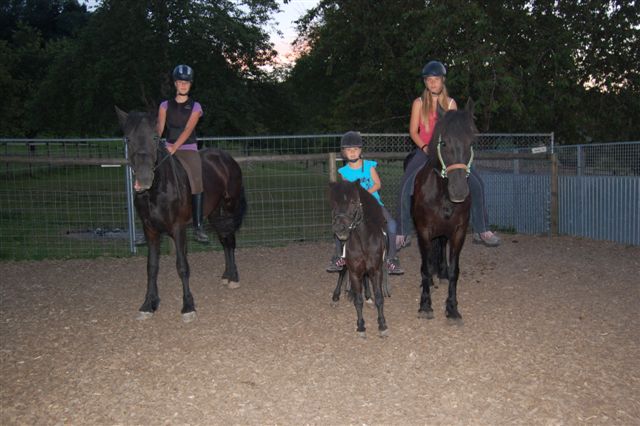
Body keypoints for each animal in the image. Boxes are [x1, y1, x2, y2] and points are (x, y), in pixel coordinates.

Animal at [116, 107, 246, 322]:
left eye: (155, 137)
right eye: (128, 139)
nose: (144, 179)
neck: (156, 191)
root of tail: (226, 158)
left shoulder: (178, 229)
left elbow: (182, 266)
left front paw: (188, 307)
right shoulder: (150, 230)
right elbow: (152, 267)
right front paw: (148, 304)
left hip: (228, 208)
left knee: (230, 240)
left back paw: (234, 278)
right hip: (214, 213)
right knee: (224, 240)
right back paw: (227, 275)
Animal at [328, 180, 390, 338]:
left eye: (353, 202)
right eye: (334, 203)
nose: (340, 228)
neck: (364, 240)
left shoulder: (376, 270)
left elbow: (379, 297)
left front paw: (382, 325)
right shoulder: (354, 271)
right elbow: (358, 300)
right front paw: (361, 326)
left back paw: (368, 297)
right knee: (342, 272)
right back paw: (336, 297)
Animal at [411, 102, 476, 320]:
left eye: (471, 142)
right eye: (444, 143)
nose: (459, 190)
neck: (443, 195)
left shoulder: (458, 232)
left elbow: (455, 270)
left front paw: (452, 307)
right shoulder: (423, 230)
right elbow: (423, 267)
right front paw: (425, 305)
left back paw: (442, 273)